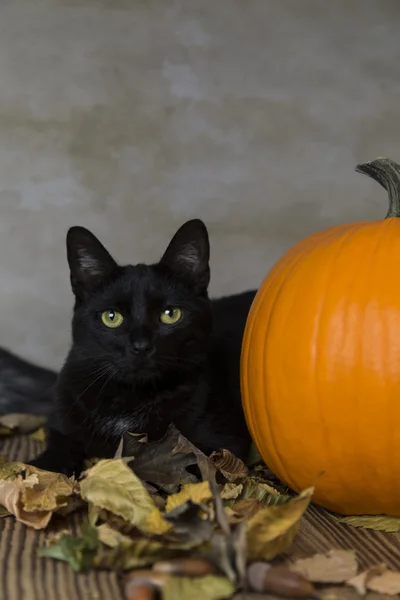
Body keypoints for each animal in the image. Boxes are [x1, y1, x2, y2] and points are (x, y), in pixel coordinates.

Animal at [1, 218, 256, 476]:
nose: (141, 346)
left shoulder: (220, 447)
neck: (129, 396)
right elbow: (57, 453)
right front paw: (34, 468)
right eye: (111, 317)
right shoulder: (62, 424)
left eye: (170, 314)